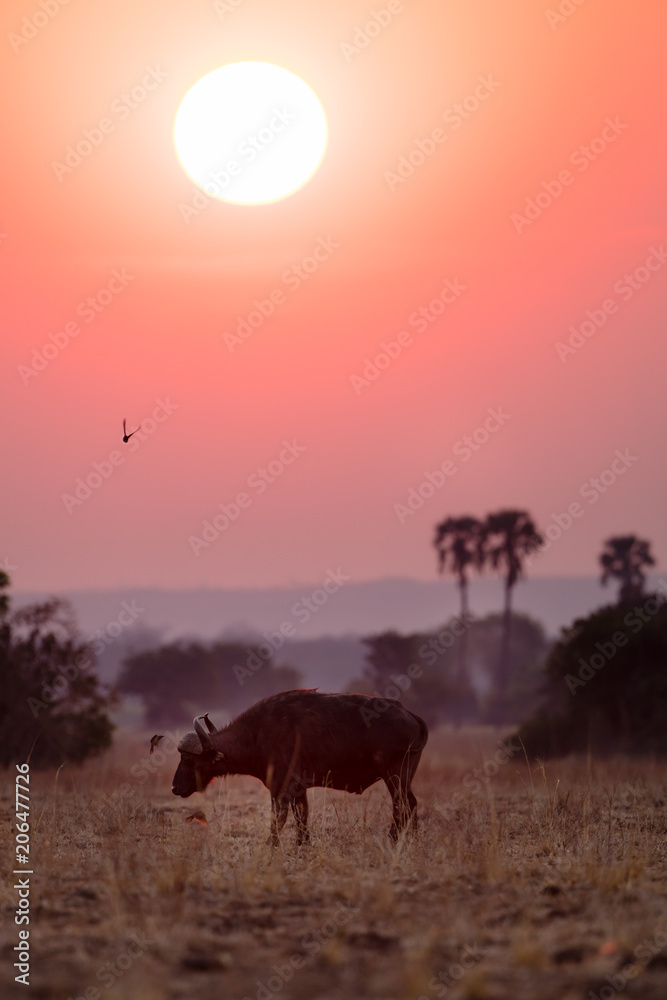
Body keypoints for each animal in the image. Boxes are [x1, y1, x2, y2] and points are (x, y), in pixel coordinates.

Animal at [171, 688, 428, 844]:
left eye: (188, 759)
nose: (174, 788)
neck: (257, 735)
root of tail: (410, 714)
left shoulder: (280, 790)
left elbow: (278, 821)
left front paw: (271, 848)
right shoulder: (299, 791)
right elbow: (301, 821)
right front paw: (301, 848)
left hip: (394, 776)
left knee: (403, 806)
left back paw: (394, 840)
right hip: (403, 777)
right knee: (410, 805)